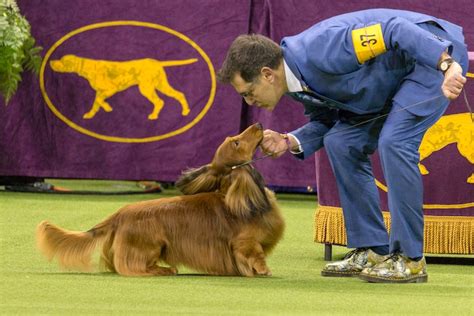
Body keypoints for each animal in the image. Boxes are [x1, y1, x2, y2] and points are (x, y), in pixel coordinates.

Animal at [37, 123, 284, 276]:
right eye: (236, 143)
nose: (258, 125)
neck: (232, 195)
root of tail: (119, 214)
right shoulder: (245, 242)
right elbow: (255, 254)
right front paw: (264, 270)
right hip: (152, 246)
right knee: (136, 267)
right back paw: (165, 270)